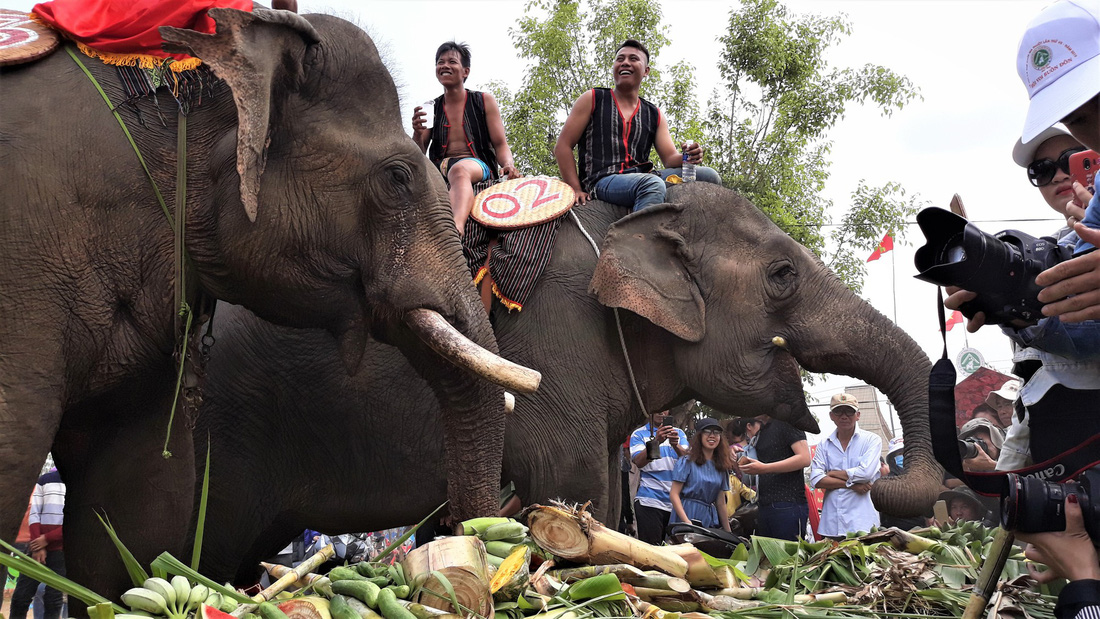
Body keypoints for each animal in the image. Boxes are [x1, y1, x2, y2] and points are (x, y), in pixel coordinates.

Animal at [184, 182, 941, 584]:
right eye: (782, 275)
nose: (878, 482)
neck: (633, 223)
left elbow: (599, 491)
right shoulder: (557, 346)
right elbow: (571, 481)